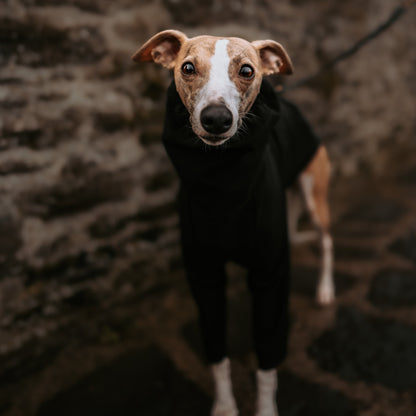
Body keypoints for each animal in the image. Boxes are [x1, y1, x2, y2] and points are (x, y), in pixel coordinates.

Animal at [133, 31, 334, 416]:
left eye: (246, 70)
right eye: (187, 67)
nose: (216, 118)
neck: (222, 180)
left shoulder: (270, 276)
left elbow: (268, 360)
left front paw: (266, 408)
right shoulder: (205, 277)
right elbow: (216, 354)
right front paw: (225, 406)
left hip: (315, 194)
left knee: (326, 240)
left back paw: (325, 290)